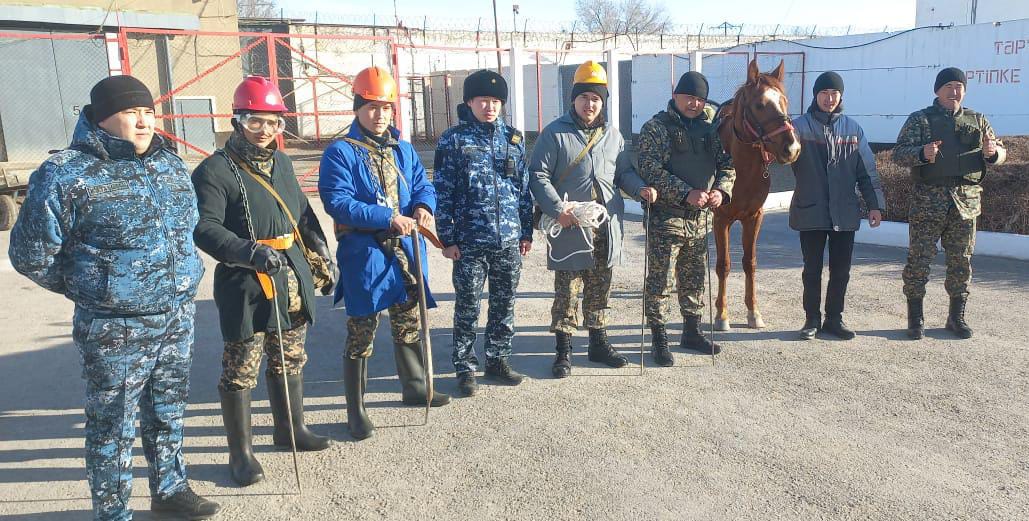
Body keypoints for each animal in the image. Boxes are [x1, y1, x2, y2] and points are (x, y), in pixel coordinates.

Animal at [716, 59, 802, 329]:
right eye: (759, 105)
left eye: (785, 101)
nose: (792, 148)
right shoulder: (721, 219)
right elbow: (724, 265)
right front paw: (721, 314)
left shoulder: (754, 217)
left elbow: (750, 263)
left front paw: (753, 312)